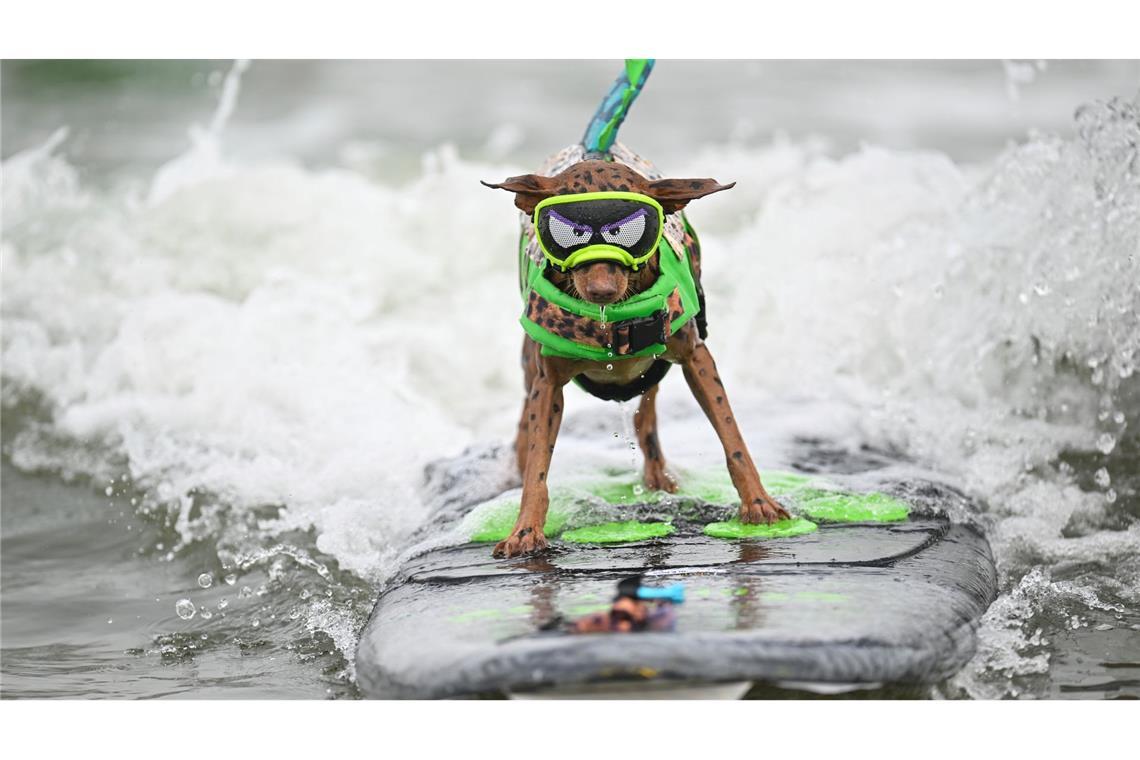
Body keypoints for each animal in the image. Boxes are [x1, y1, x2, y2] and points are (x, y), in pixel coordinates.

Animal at [483, 145, 793, 558]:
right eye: (569, 233)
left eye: (627, 232)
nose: (601, 290)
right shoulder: (547, 383)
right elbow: (537, 465)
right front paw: (525, 529)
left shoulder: (696, 358)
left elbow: (733, 439)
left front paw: (758, 502)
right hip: (531, 369)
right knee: (525, 424)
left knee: (647, 415)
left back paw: (658, 474)